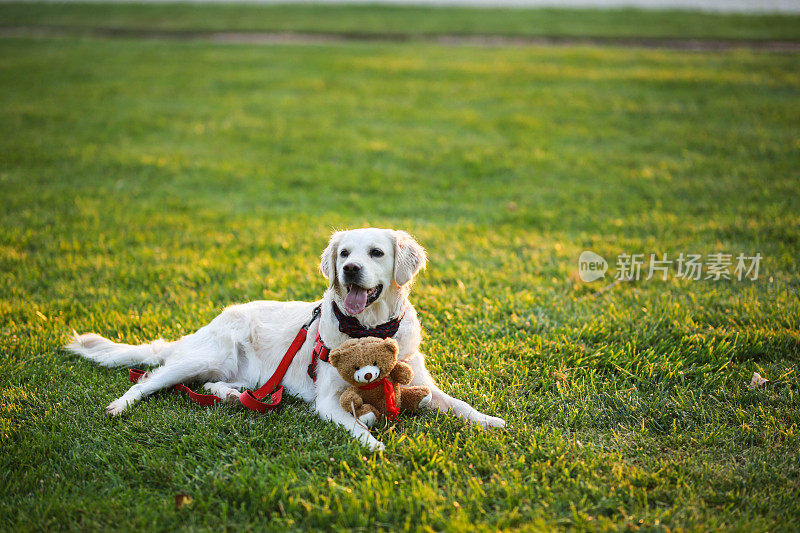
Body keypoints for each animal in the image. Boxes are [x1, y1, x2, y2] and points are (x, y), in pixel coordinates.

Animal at [69, 227, 506, 450]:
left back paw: (231, 396)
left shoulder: (418, 381)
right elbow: (358, 428)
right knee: (146, 380)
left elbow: (458, 404)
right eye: (344, 253)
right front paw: (378, 449)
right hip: (202, 357)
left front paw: (489, 421)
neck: (367, 330)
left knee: (213, 386)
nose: (349, 269)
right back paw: (119, 406)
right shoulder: (329, 401)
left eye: (376, 253)